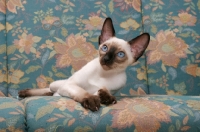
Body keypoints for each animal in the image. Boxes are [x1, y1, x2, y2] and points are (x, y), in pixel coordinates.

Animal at [19, 17, 150, 111]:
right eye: (105, 48)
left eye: (120, 54)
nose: (106, 59)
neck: (104, 74)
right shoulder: (70, 85)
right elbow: (82, 92)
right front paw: (92, 101)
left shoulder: (109, 89)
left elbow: (101, 91)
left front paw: (106, 98)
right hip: (58, 84)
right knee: (49, 90)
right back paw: (24, 92)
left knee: (50, 94)